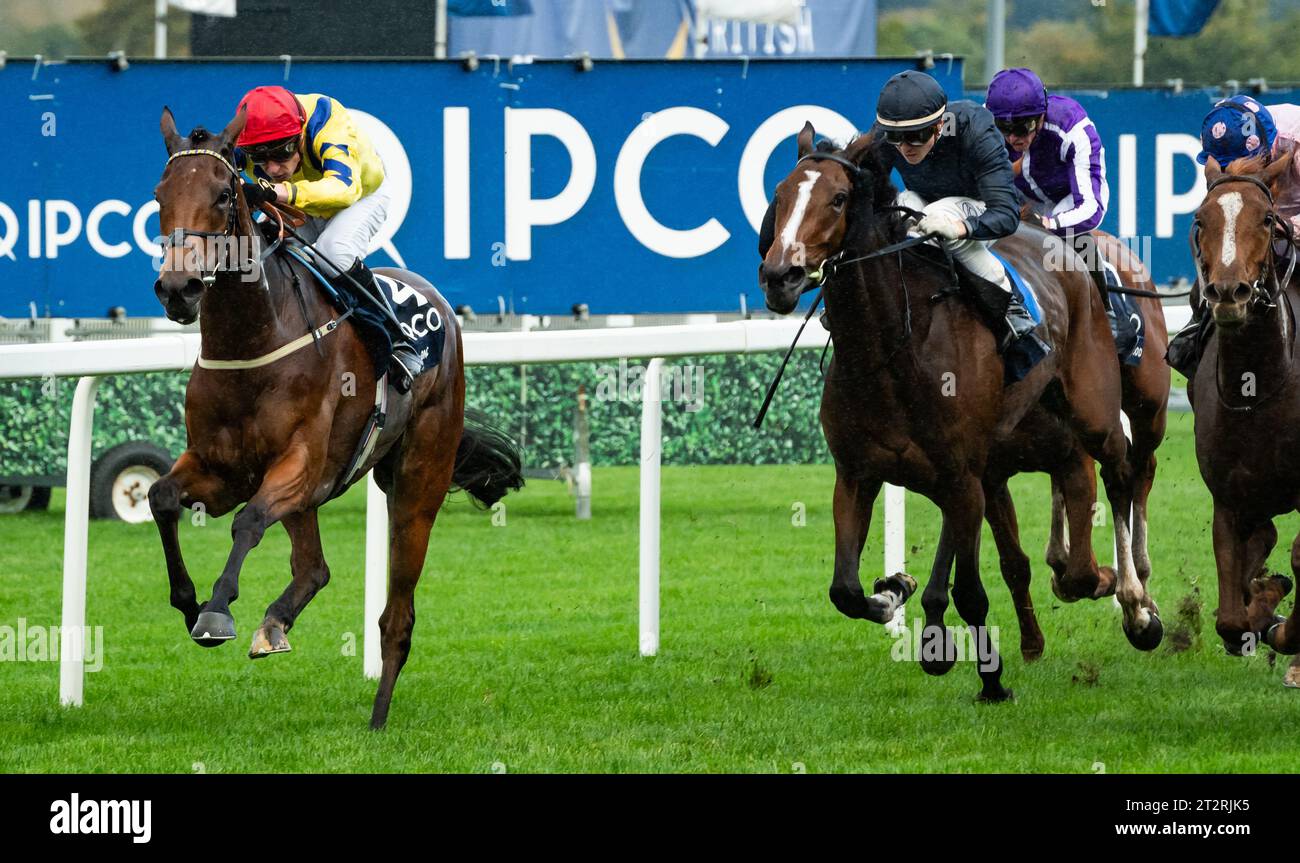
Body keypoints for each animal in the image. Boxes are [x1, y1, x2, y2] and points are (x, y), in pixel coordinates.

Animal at [148, 105, 522, 727]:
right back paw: (275, 623)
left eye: (224, 193)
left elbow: (248, 521)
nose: (178, 288)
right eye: (159, 194)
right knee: (314, 569)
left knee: (397, 615)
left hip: (417, 482)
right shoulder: (221, 468)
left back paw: (378, 718)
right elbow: (162, 497)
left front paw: (217, 610)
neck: (253, 340)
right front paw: (187, 602)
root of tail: (439, 304)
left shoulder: (300, 463)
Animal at [759, 124, 1164, 696]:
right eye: (780, 195)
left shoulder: (963, 476)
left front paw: (990, 680)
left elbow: (969, 591)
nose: (780, 276)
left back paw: (1134, 601)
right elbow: (846, 590)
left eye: (837, 199)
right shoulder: (860, 474)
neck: (889, 350)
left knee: (1124, 473)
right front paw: (893, 590)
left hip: (1102, 413)